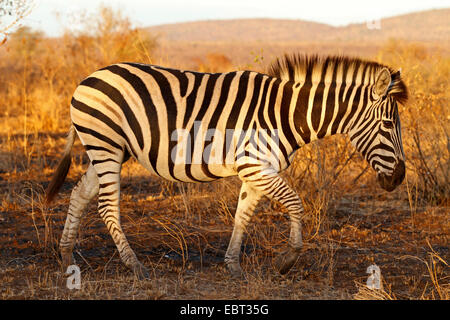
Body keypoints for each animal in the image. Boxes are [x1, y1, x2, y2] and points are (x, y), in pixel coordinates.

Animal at [45, 53, 408, 278]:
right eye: (389, 125)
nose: (399, 178)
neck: (285, 115)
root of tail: (87, 79)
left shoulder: (257, 170)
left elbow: (242, 216)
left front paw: (233, 265)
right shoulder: (256, 166)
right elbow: (295, 203)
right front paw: (286, 261)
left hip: (110, 148)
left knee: (79, 194)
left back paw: (66, 256)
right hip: (105, 144)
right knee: (107, 206)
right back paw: (134, 266)